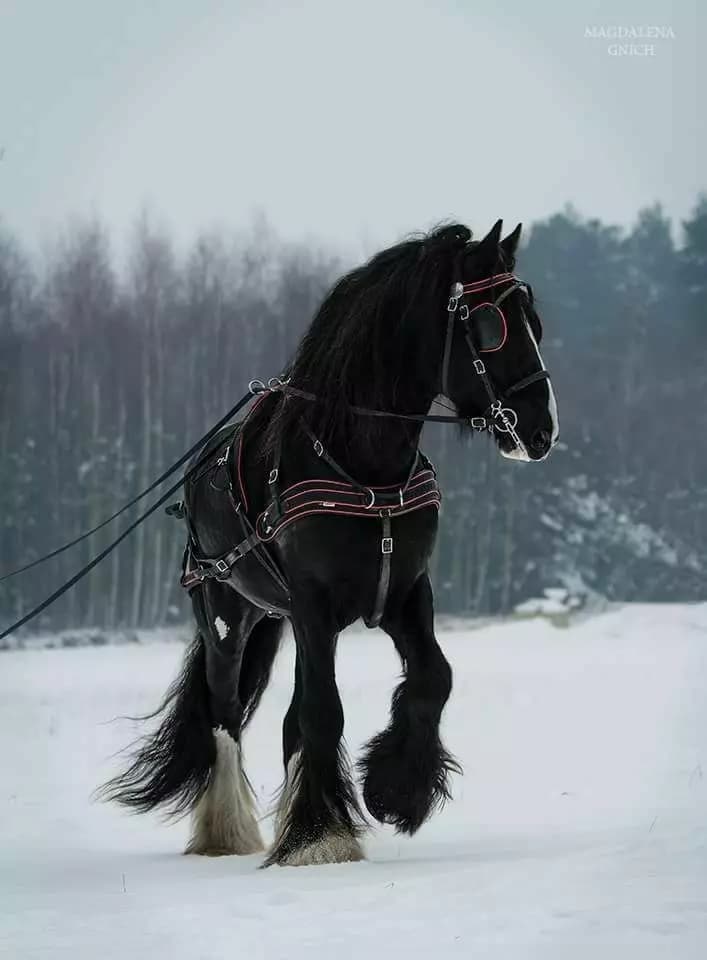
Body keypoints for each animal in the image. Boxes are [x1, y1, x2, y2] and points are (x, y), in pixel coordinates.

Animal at [100, 219, 559, 867]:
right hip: (226, 616)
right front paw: (321, 835)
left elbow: (432, 678)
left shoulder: (403, 595)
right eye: (491, 326)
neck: (362, 466)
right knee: (224, 714)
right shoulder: (314, 608)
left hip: (279, 618)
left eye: (534, 322)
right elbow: (323, 712)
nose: (540, 431)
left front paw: (395, 792)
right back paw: (227, 829)